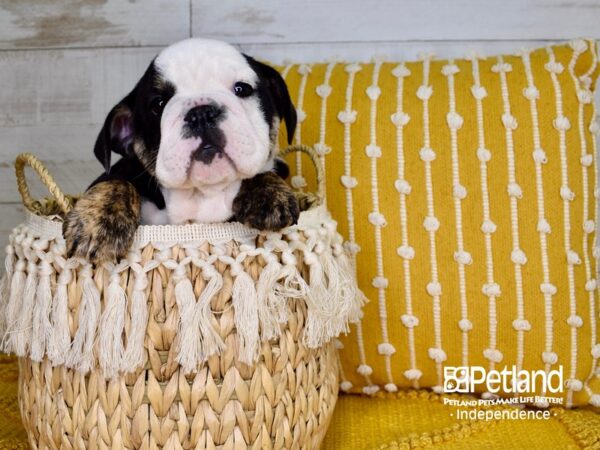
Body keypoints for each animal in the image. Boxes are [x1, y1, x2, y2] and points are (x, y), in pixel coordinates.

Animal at [63, 39, 300, 264]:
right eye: (158, 104)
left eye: (242, 89)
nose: (201, 113)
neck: (201, 194)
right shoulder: (119, 170)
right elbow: (116, 182)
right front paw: (99, 222)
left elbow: (263, 172)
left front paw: (269, 195)